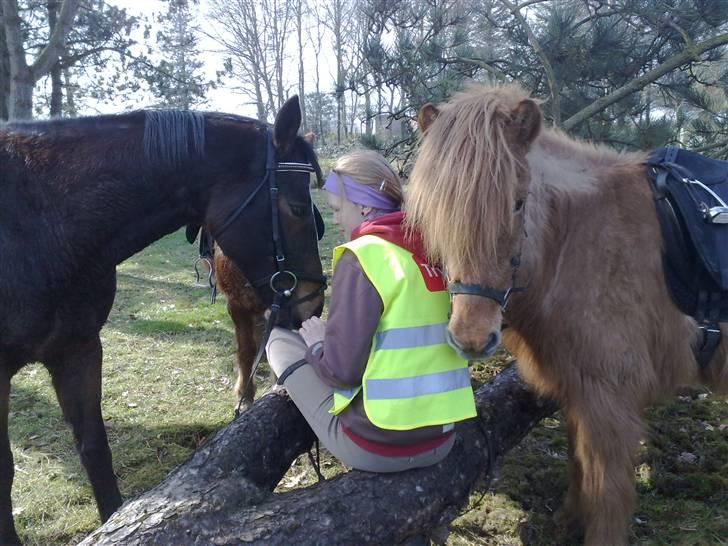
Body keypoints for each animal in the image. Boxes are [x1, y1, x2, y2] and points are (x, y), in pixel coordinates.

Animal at [406, 82, 728, 544]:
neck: (579, 241)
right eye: (438, 212)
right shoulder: (579, 388)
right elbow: (579, 465)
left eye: (518, 203)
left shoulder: (610, 399)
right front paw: (568, 520)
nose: (471, 338)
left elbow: (607, 492)